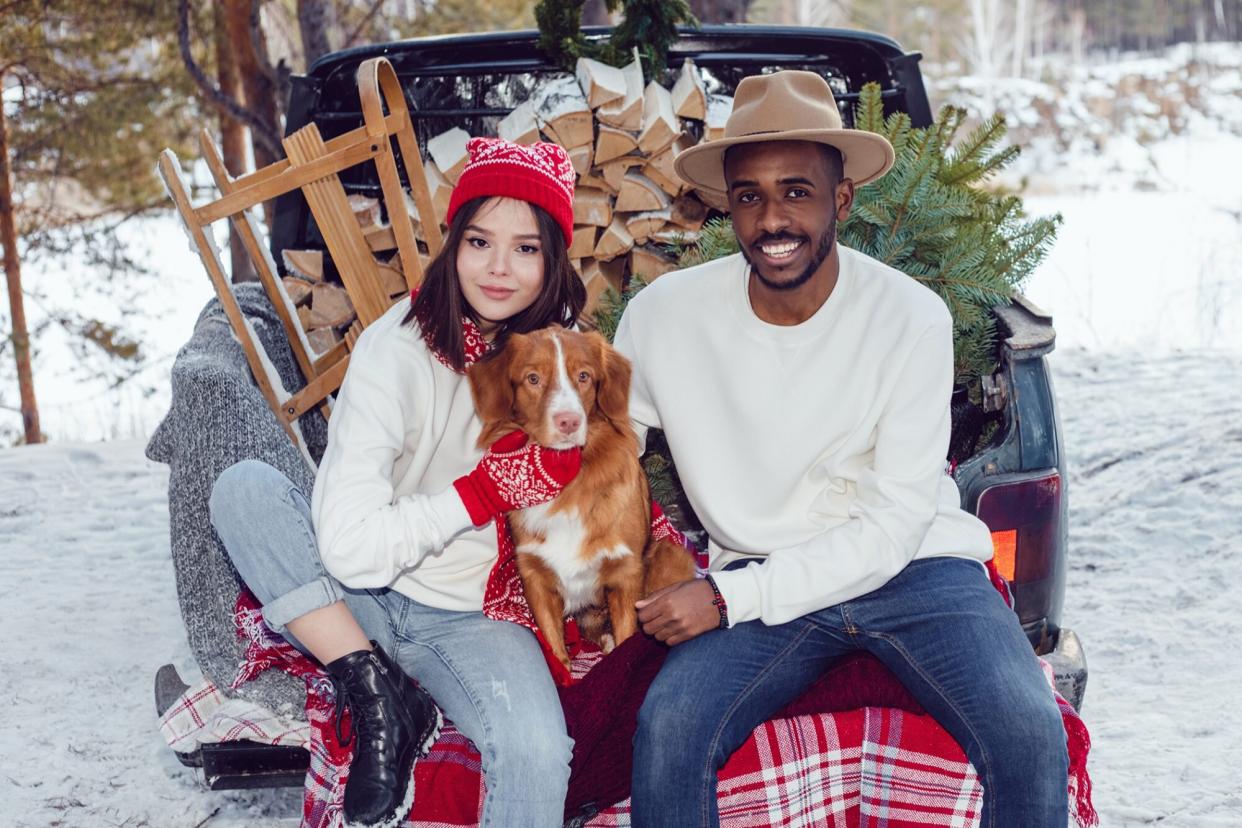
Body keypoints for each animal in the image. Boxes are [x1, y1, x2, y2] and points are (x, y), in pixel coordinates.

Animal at [466, 325, 700, 675]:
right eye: (533, 378)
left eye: (584, 376)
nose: (569, 422)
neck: (571, 485)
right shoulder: (535, 578)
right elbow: (557, 652)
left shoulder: (626, 574)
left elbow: (628, 640)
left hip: (668, 556)